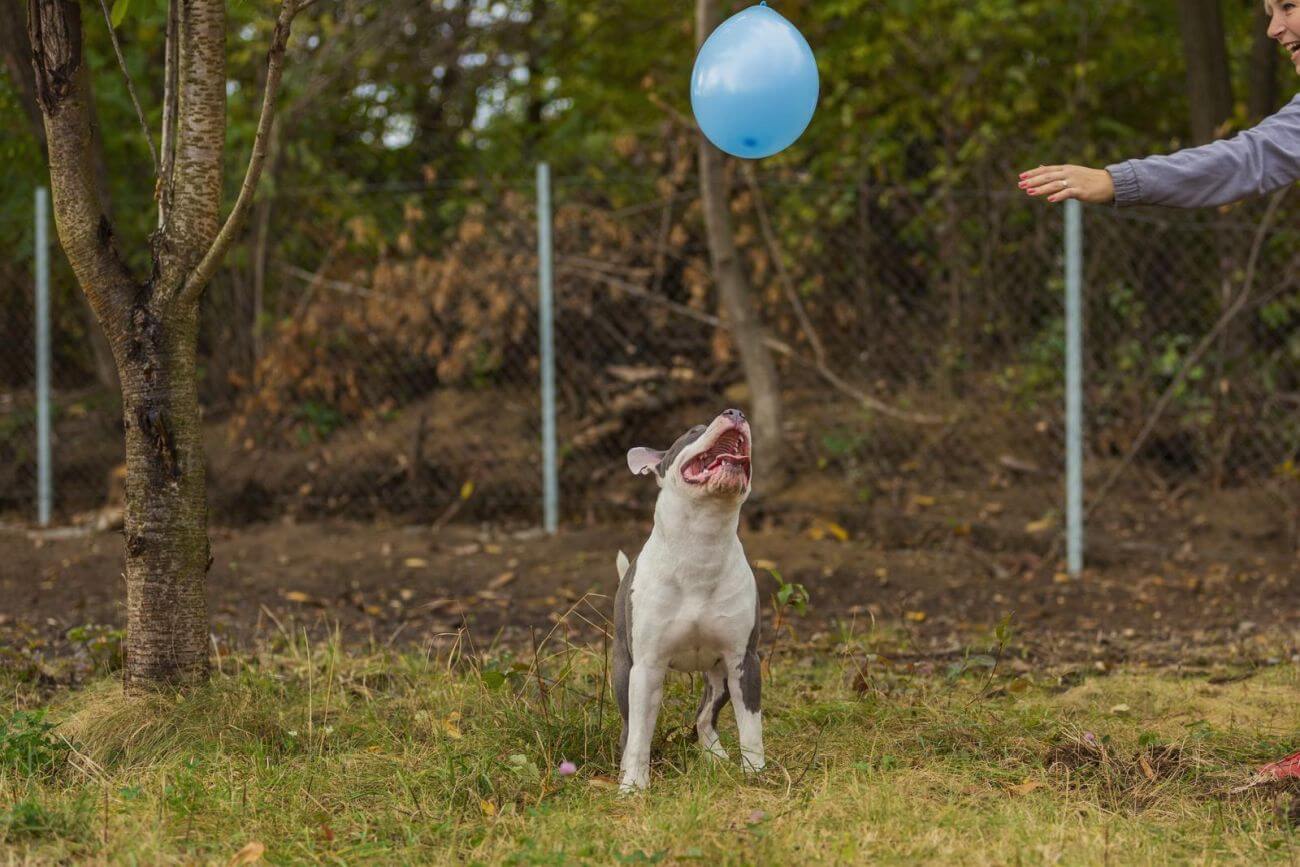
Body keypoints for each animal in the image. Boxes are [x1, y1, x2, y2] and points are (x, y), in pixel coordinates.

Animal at [616, 408, 764, 795]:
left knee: (703, 716)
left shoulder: (744, 660)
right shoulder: (647, 667)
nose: (736, 412)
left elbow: (751, 727)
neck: (703, 543)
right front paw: (633, 786)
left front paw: (757, 774)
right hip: (623, 671)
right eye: (694, 431)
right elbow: (640, 735)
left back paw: (717, 758)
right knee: (629, 727)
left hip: (719, 676)